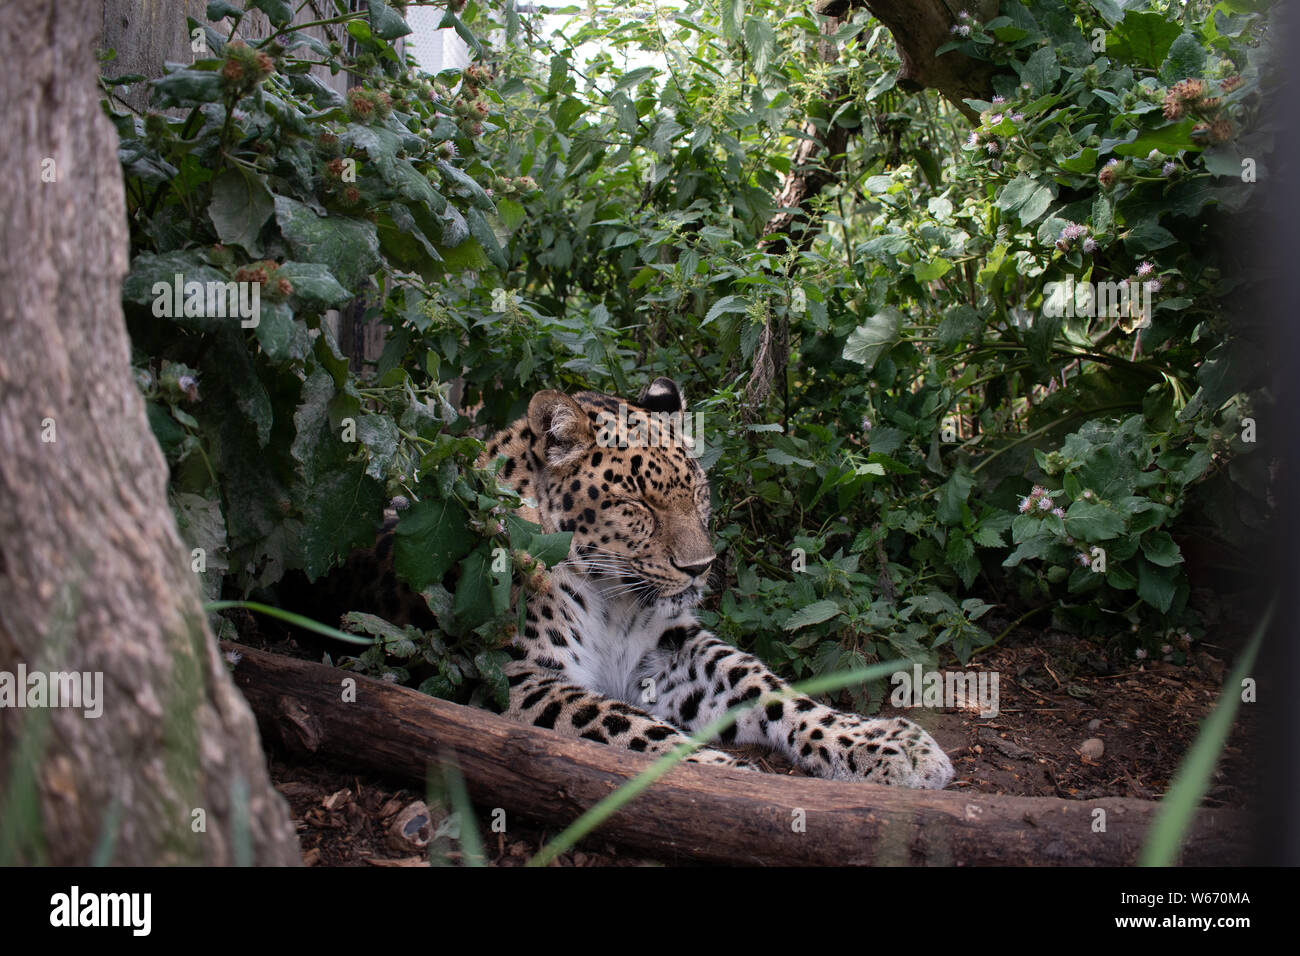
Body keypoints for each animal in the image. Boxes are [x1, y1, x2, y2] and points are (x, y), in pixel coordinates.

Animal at [473, 377, 951, 790]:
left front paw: (885, 744)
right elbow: (625, 725)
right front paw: (725, 778)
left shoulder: (666, 649)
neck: (612, 602)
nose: (700, 566)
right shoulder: (516, 675)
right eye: (636, 504)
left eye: (699, 491)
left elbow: (763, 685)